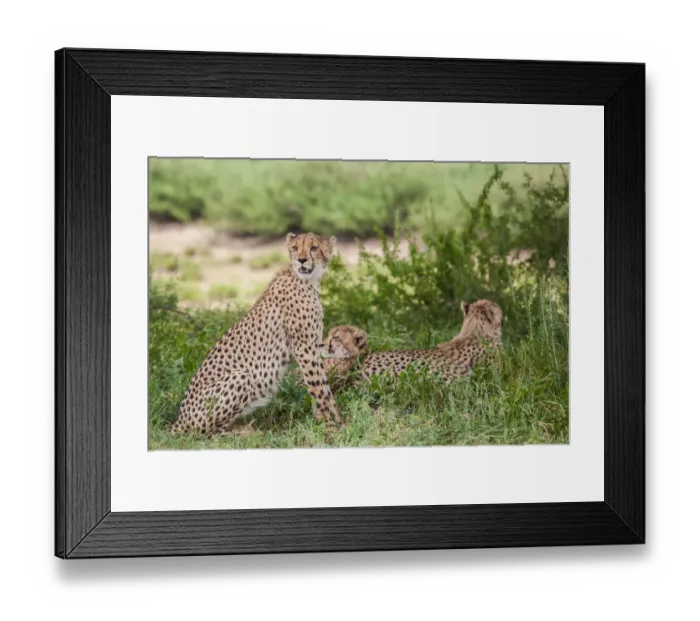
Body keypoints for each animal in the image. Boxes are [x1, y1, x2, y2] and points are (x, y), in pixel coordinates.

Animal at [170, 232, 341, 436]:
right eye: (295, 248)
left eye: (314, 248)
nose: (301, 260)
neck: (308, 281)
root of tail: (179, 420)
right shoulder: (304, 349)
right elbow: (319, 388)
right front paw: (330, 425)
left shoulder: (313, 348)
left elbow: (324, 387)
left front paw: (335, 420)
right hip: (240, 377)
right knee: (207, 433)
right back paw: (244, 432)